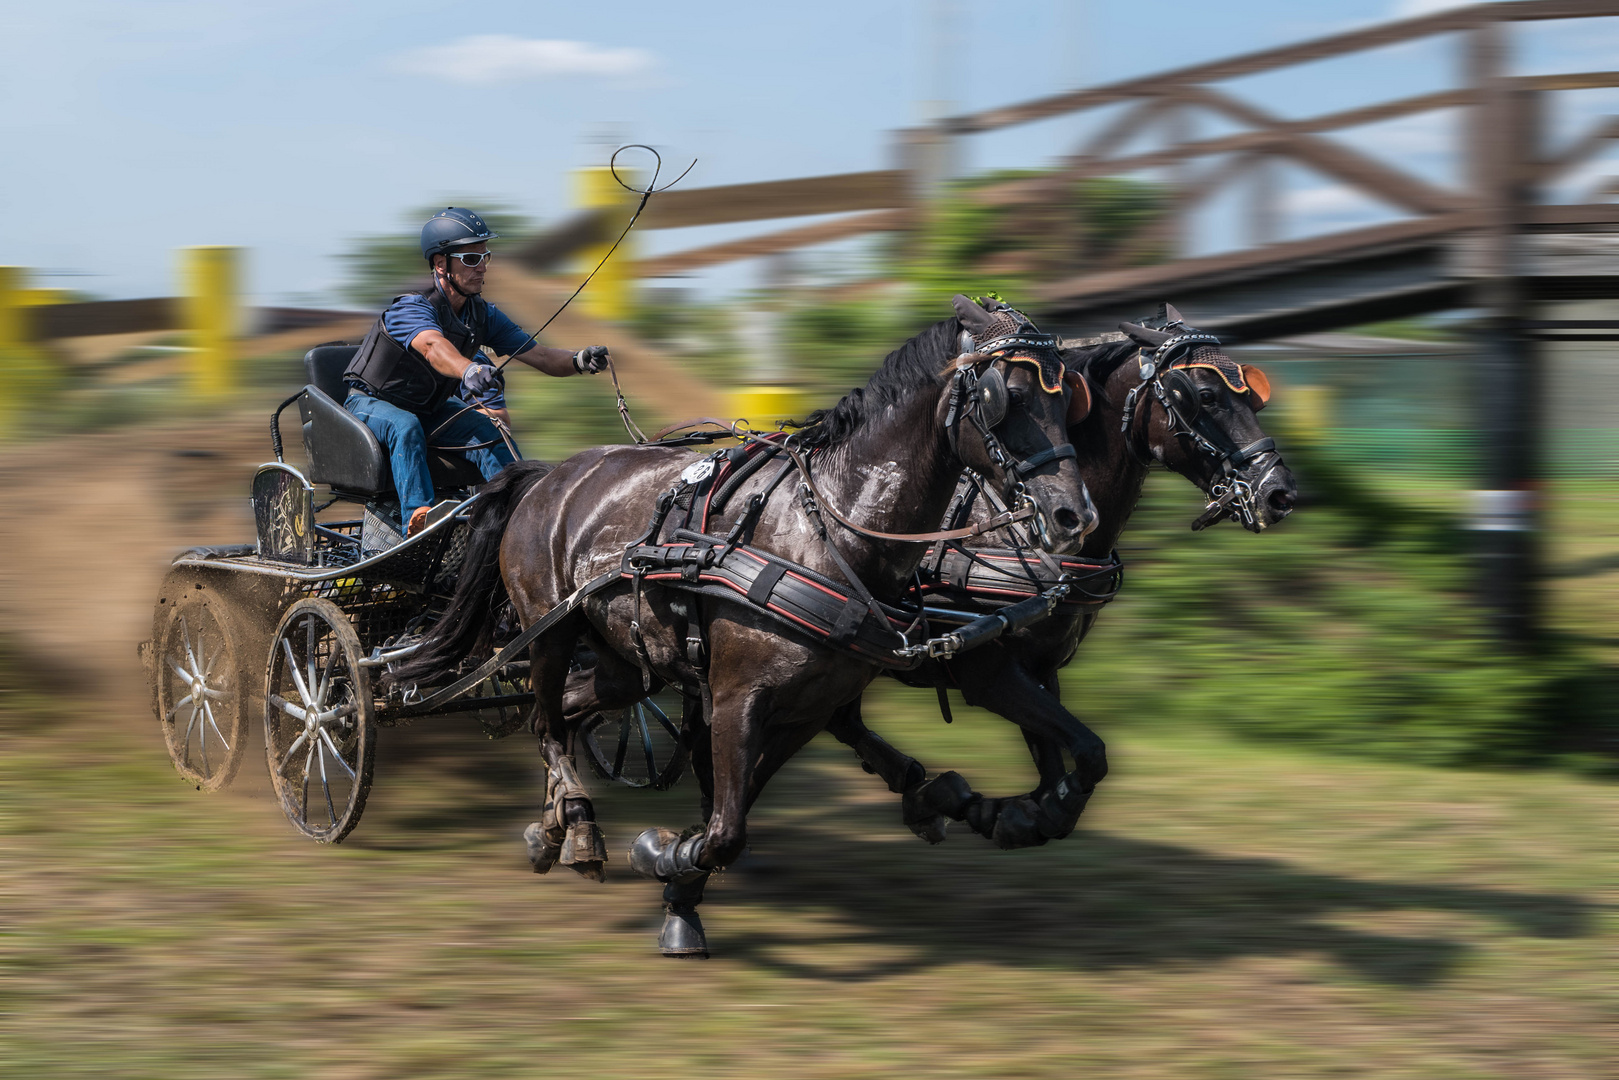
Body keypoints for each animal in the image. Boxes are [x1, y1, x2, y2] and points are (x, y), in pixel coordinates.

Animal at [395, 296, 1100, 952]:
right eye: (1006, 397)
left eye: (1073, 399)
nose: (1074, 515)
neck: (830, 528)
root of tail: (547, 476)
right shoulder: (738, 697)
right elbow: (726, 828)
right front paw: (666, 859)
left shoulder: (813, 703)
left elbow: (733, 816)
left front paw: (678, 885)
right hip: (548, 629)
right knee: (544, 722)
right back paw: (580, 829)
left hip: (624, 658)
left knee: (569, 711)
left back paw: (554, 831)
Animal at [828, 317, 1295, 848]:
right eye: (1203, 395)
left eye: (1252, 394)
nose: (1279, 493)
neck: (1019, 537)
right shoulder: (987, 672)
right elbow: (1090, 753)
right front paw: (1007, 809)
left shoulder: (1041, 667)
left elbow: (1057, 767)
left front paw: (1013, 812)